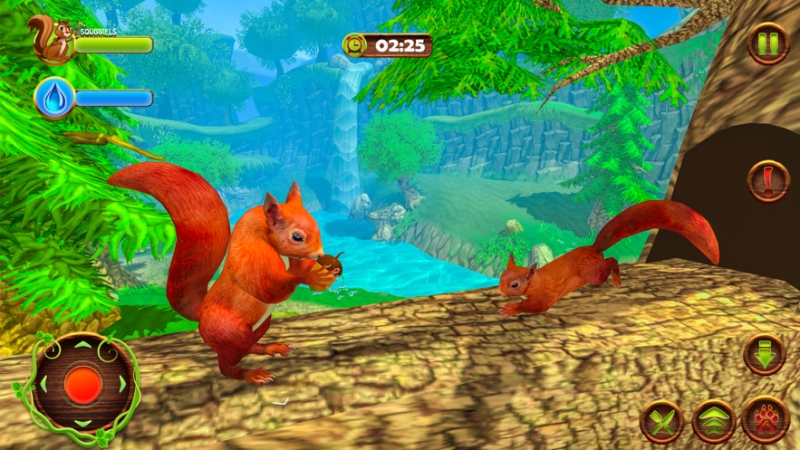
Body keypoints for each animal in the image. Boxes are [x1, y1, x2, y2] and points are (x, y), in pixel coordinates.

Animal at [107, 162, 336, 384]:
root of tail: (201, 313)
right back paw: (251, 374)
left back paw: (271, 348)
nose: (319, 254)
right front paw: (312, 276)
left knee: (250, 346)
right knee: (227, 366)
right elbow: (271, 289)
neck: (262, 230)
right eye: (297, 237)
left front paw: (315, 270)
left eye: (316, 224)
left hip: (260, 325)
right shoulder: (254, 260)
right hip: (231, 332)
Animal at [498, 200, 720, 316]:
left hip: (594, 274)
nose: (499, 291)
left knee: (611, 262)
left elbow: (537, 306)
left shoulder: (546, 294)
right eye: (501, 277)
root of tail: (594, 249)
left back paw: (617, 279)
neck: (537, 280)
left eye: (515, 284)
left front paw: (513, 308)